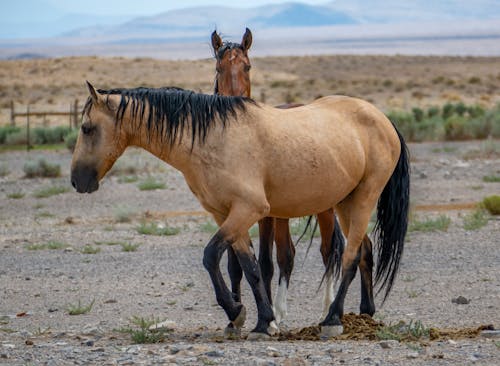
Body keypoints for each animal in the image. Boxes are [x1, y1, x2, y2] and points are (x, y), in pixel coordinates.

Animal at [71, 81, 410, 338]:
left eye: (87, 128)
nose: (76, 181)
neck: (212, 140)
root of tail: (383, 119)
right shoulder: (226, 215)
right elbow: (250, 267)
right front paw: (262, 322)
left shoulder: (248, 210)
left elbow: (211, 256)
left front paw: (237, 313)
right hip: (344, 202)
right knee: (365, 250)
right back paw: (365, 314)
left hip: (364, 197)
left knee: (351, 255)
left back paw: (332, 320)